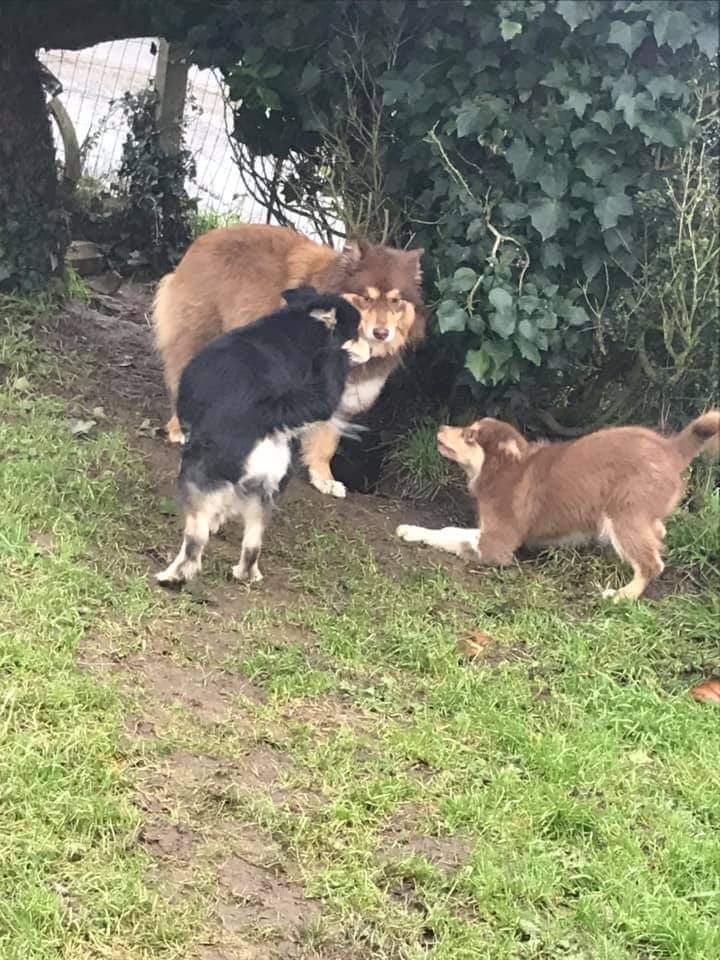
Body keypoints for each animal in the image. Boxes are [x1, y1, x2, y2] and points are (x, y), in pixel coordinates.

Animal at [152, 222, 422, 498]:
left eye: (395, 300)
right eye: (366, 298)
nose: (381, 333)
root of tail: (204, 240)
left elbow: (326, 444)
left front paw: (323, 478)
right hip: (199, 335)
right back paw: (180, 428)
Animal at [158, 284, 372, 584]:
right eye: (357, 334)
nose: (372, 348)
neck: (289, 331)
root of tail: (267, 413)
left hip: (195, 470)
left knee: (195, 541)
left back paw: (172, 576)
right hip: (267, 492)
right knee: (252, 545)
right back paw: (245, 574)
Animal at [396, 410, 716, 600]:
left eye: (470, 435)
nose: (440, 426)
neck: (502, 468)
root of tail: (671, 449)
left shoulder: (495, 544)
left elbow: (449, 535)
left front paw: (412, 532)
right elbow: (448, 530)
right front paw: (411, 530)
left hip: (624, 515)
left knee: (652, 562)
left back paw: (623, 595)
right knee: (659, 534)